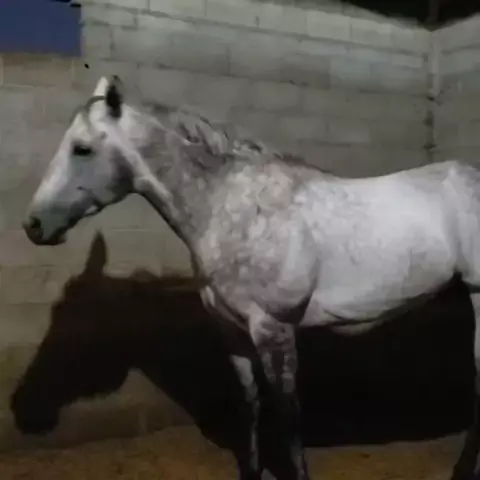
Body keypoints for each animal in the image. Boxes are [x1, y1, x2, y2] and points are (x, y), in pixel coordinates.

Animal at [22, 74, 480, 480]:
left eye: (81, 149)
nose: (34, 225)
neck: (231, 209)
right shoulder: (232, 332)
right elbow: (252, 406)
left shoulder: (274, 329)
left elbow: (288, 416)